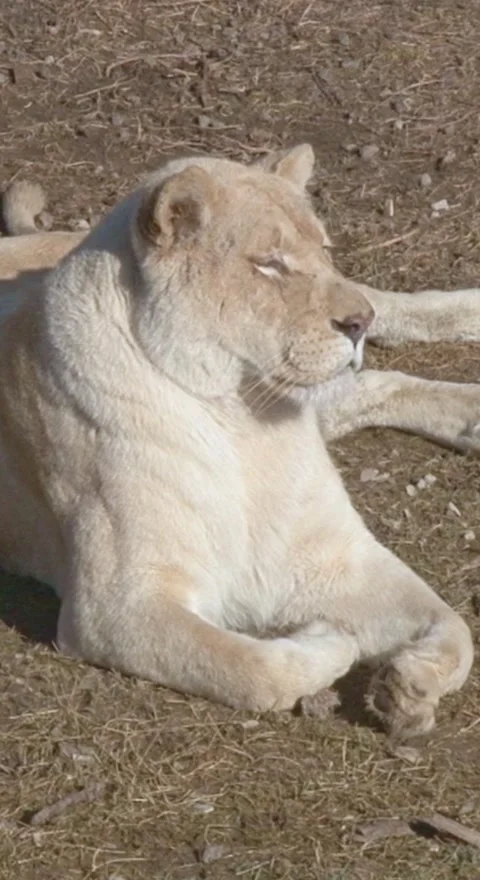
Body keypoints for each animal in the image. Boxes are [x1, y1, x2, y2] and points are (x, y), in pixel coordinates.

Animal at [0, 144, 477, 741]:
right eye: (269, 264)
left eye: (324, 250)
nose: (358, 324)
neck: (243, 419)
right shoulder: (114, 606)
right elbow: (252, 670)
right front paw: (330, 640)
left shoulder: (336, 557)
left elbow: (454, 625)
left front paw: (410, 687)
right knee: (373, 382)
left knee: (384, 326)